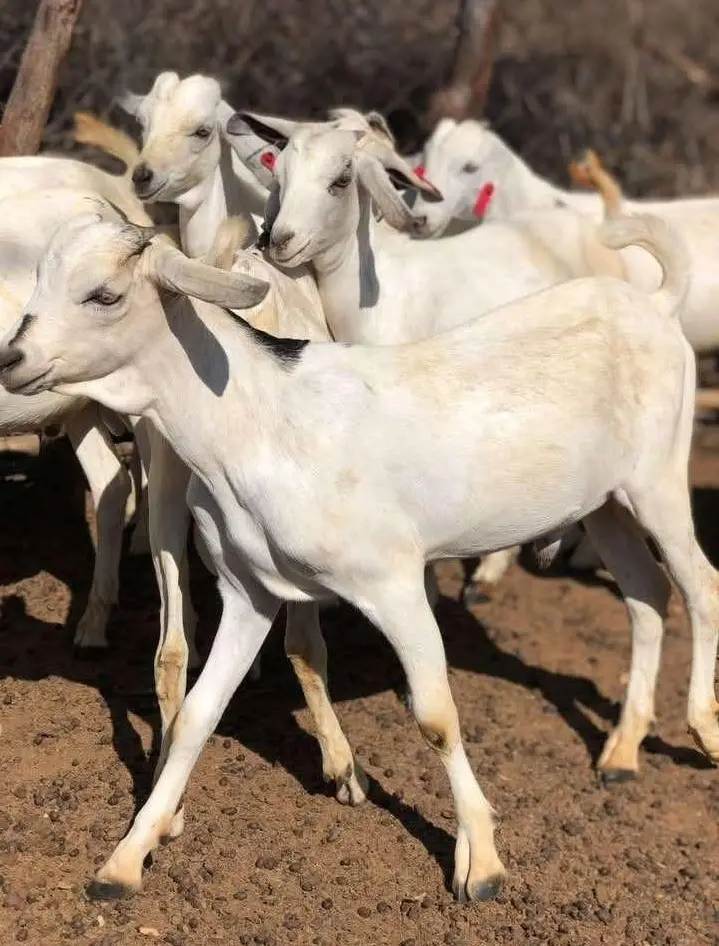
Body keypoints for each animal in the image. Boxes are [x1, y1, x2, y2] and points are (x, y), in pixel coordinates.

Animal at [1, 205, 715, 905]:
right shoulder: (250, 591)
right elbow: (197, 718)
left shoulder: (391, 582)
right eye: (38, 277)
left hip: (656, 479)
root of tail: (655, 304)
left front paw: (481, 864)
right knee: (646, 593)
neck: (263, 422)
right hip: (604, 503)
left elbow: (435, 715)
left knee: (699, 585)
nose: (13, 358)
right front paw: (124, 860)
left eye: (105, 295)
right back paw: (622, 749)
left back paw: (702, 731)